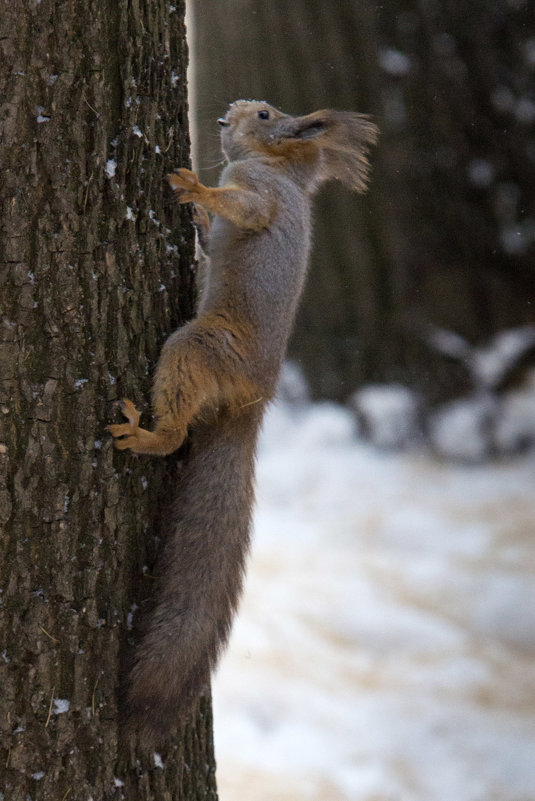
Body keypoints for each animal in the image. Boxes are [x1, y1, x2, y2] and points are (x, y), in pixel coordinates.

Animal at [108, 100, 376, 744]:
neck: (284, 171)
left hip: (196, 348)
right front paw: (199, 216)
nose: (227, 114)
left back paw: (144, 433)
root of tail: (252, 405)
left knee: (175, 433)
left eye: (264, 113)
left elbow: (246, 210)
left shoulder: (261, 193)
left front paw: (196, 189)